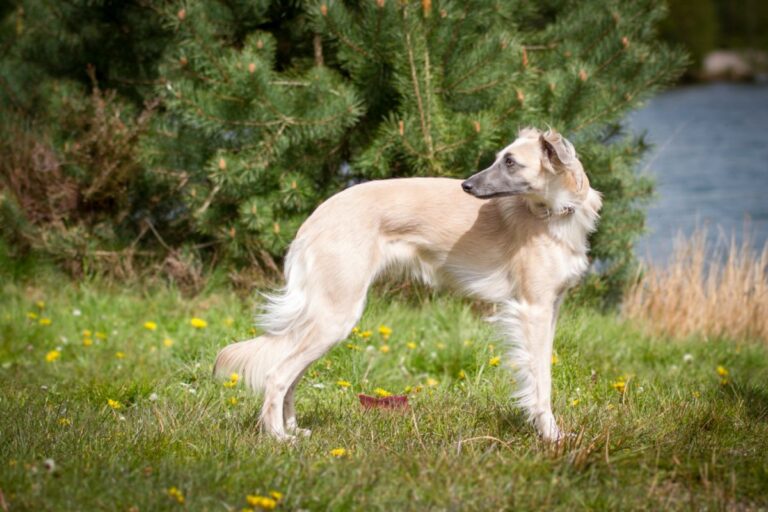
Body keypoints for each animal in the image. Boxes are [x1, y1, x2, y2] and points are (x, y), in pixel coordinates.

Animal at [213, 127, 604, 440]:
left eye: (510, 162)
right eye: (500, 159)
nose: (466, 185)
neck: (555, 214)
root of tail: (313, 220)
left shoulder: (550, 309)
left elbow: (543, 374)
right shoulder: (532, 309)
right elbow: (540, 381)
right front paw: (551, 436)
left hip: (323, 318)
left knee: (289, 374)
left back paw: (293, 428)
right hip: (335, 316)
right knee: (277, 374)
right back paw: (278, 437)